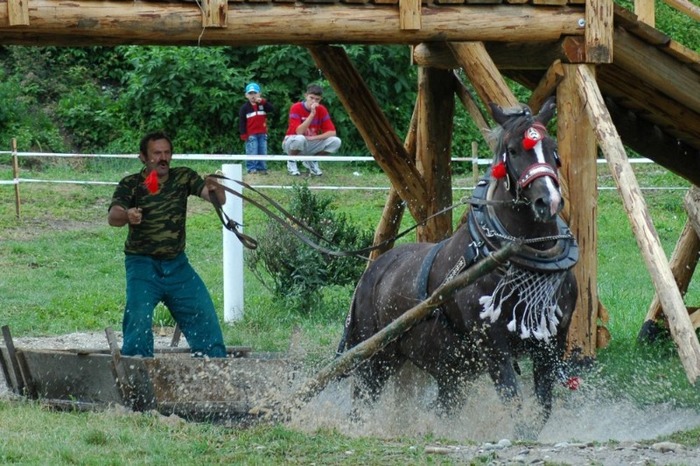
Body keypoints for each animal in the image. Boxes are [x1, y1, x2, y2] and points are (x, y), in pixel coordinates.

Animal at [336, 98, 576, 434]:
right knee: (362, 402)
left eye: (552, 148)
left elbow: (543, 407)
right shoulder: (492, 345)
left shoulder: (552, 341)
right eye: (514, 150)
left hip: (442, 368)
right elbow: (513, 399)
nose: (549, 201)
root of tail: (372, 271)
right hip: (377, 357)